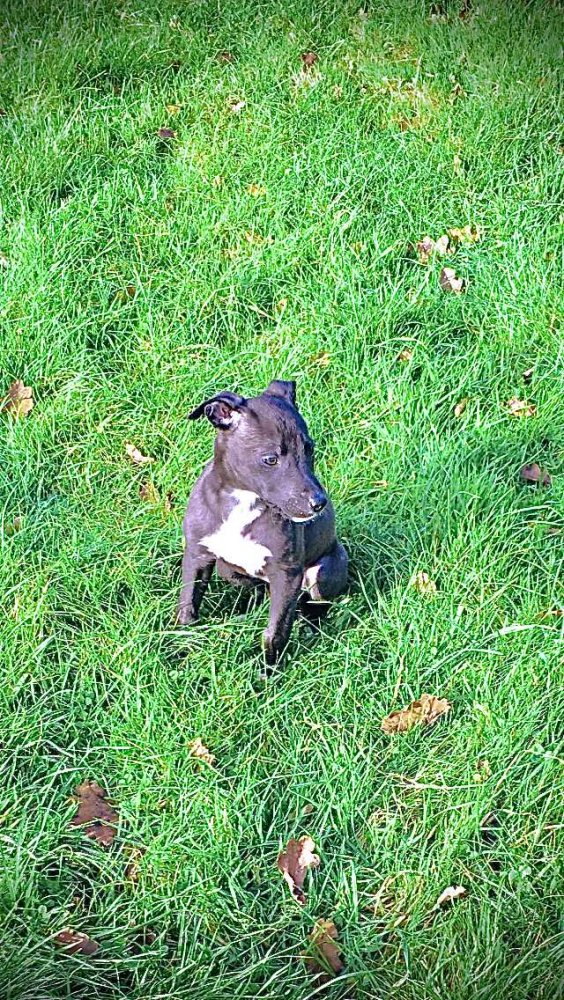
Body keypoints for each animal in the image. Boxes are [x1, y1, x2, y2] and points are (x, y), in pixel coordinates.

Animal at [176, 380, 348, 664]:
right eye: (270, 459)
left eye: (309, 449)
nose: (319, 503)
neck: (242, 501)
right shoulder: (198, 555)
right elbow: (187, 605)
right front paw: (181, 645)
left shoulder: (287, 573)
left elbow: (275, 633)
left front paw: (269, 671)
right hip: (227, 568)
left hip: (321, 572)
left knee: (315, 604)